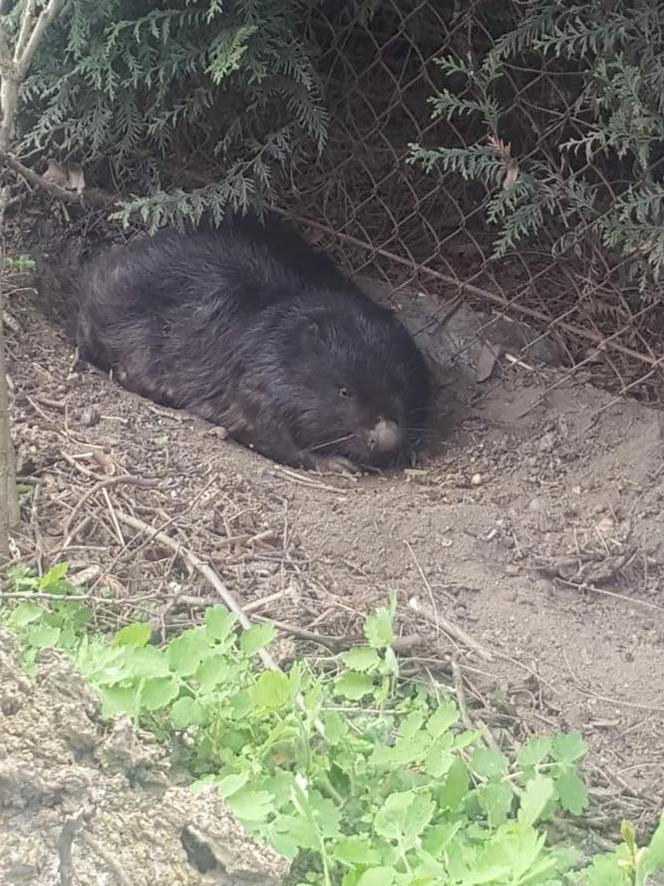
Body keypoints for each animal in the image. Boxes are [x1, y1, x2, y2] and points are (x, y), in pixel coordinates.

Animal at [75, 212, 434, 476]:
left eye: (401, 386)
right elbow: (262, 430)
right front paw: (338, 464)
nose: (385, 438)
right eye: (344, 391)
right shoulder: (256, 376)